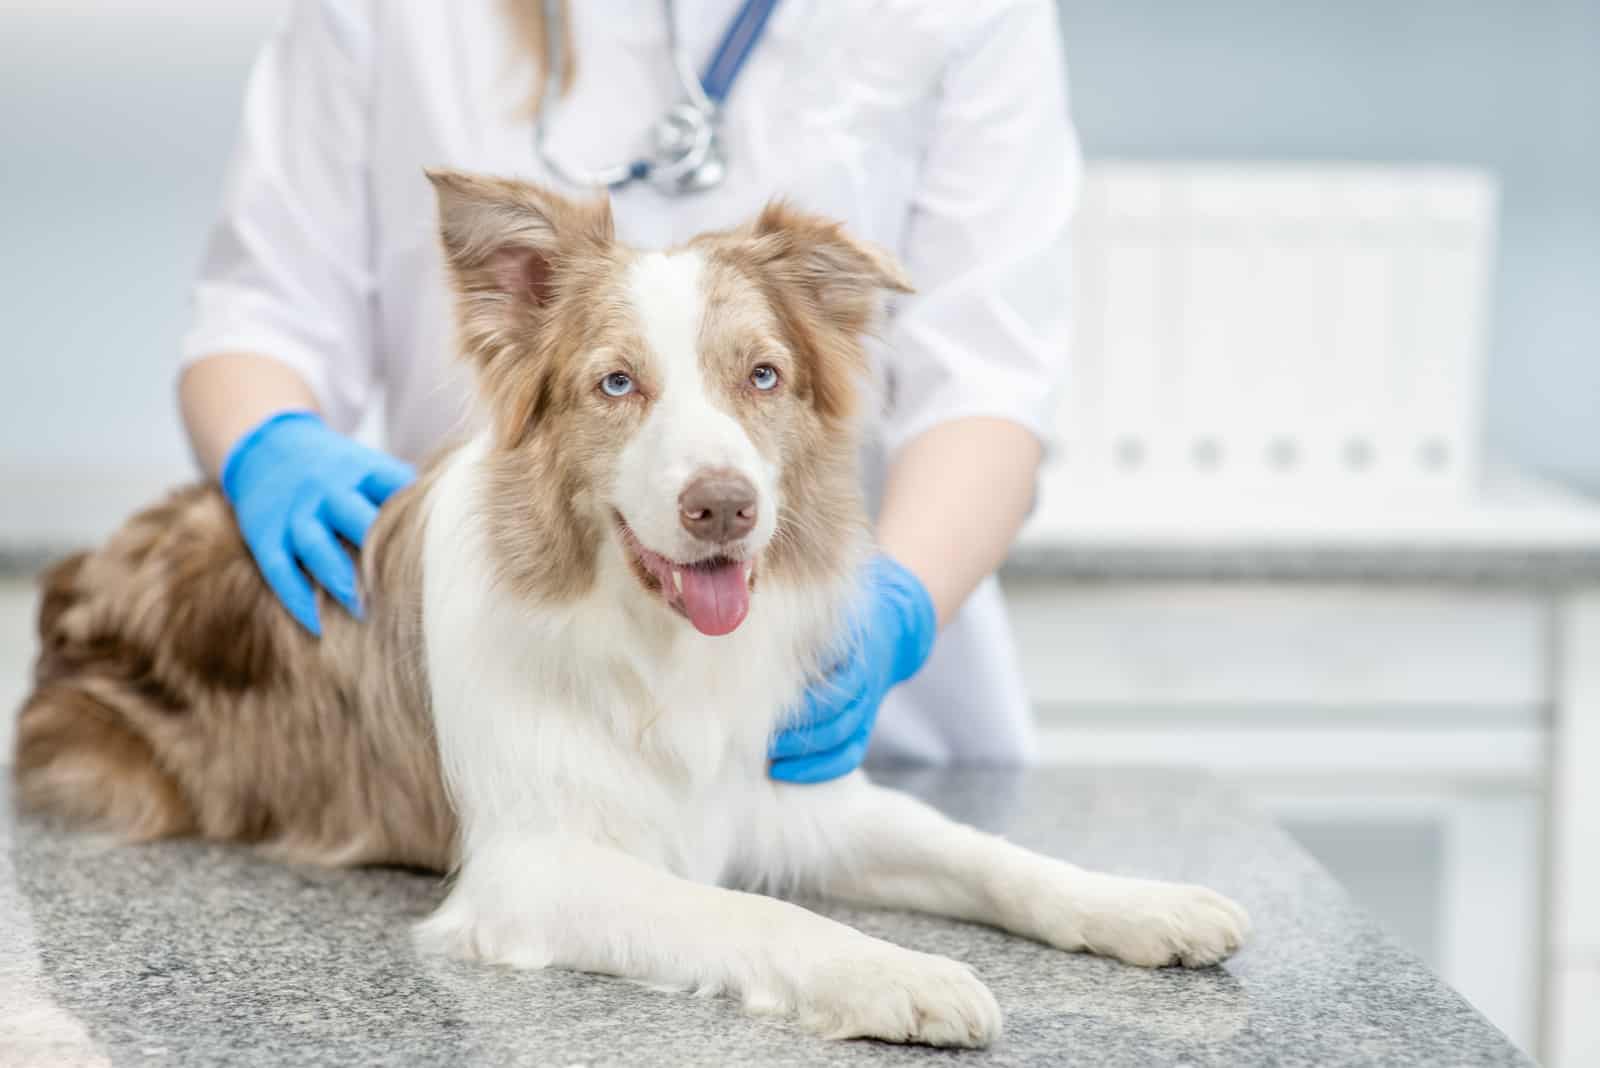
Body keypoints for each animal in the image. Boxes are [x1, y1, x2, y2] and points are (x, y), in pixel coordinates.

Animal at [9, 171, 1248, 1048]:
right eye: (616, 384)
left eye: (762, 377)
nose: (723, 507)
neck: (654, 652)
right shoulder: (533, 869)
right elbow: (758, 914)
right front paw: (897, 972)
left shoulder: (795, 797)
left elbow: (994, 854)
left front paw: (1144, 905)